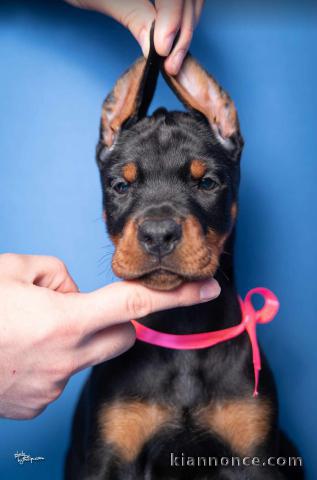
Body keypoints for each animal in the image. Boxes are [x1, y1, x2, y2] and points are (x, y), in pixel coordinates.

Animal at [65, 33, 304, 480]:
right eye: (120, 185)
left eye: (207, 182)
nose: (158, 234)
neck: (184, 331)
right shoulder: (109, 455)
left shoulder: (256, 457)